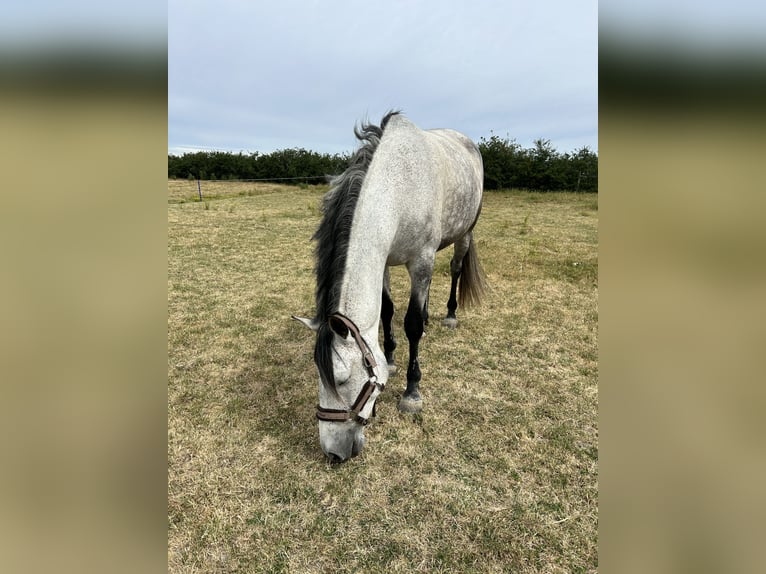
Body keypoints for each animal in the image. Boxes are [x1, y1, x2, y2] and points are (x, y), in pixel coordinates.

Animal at [293, 111, 486, 462]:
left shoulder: (421, 261)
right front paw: (392, 360)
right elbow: (387, 312)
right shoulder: (382, 261)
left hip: (464, 234)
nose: (333, 453)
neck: (399, 186)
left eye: (342, 380)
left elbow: (411, 323)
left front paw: (412, 392)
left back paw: (450, 315)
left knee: (455, 269)